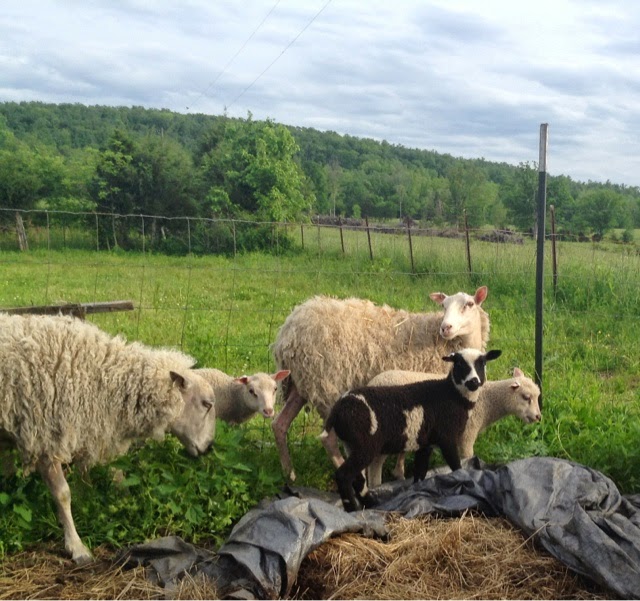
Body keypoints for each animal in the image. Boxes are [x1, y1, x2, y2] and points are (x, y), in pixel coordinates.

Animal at [0, 313, 217, 564]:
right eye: (206, 404)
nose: (209, 448)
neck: (98, 375)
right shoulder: (46, 438)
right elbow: (63, 494)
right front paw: (76, 546)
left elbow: (92, 477)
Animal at [271, 286, 490, 481]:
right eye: (443, 306)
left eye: (469, 304)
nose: (445, 327)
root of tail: (287, 333)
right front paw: (400, 472)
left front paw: (399, 471)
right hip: (326, 386)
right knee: (329, 439)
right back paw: (357, 477)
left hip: (301, 384)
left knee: (279, 425)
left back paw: (289, 474)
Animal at [321, 348, 502, 512]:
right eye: (458, 363)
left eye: (483, 363)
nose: (473, 382)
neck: (452, 395)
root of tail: (337, 410)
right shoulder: (446, 437)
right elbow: (456, 467)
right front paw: (465, 481)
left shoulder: (426, 443)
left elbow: (420, 473)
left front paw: (417, 494)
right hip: (365, 446)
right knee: (344, 475)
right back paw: (351, 508)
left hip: (351, 444)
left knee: (357, 478)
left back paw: (371, 504)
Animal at [365, 367, 542, 487]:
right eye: (526, 397)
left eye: (538, 396)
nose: (538, 417)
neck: (487, 403)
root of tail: (372, 383)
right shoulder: (468, 433)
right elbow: (467, 458)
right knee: (375, 464)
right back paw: (376, 486)